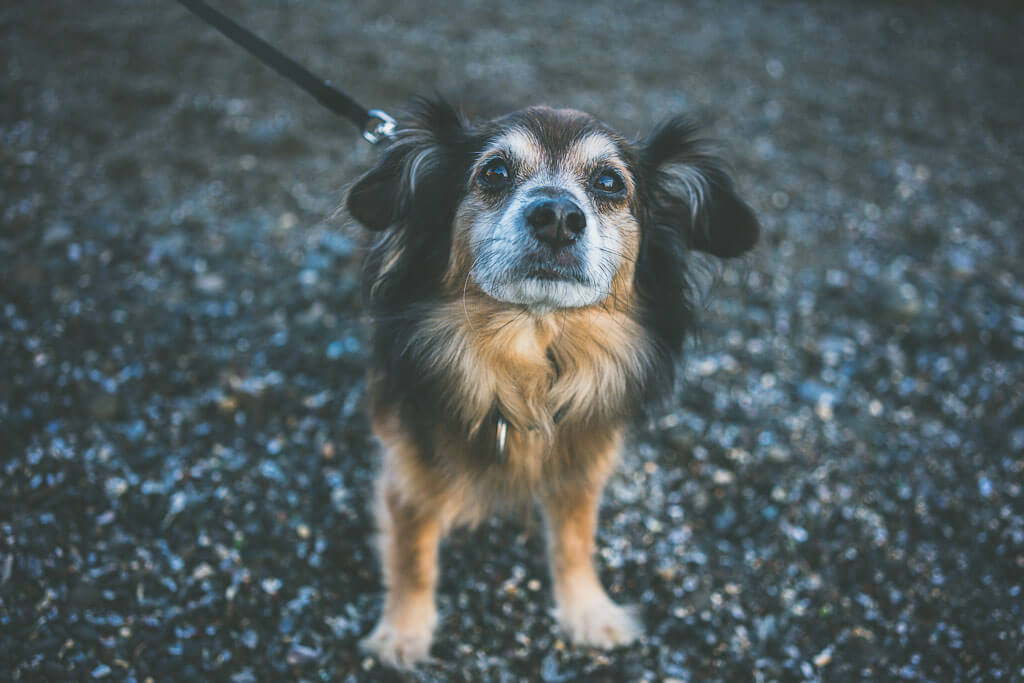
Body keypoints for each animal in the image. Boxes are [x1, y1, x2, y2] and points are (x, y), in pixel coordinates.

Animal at [348, 97, 757, 667]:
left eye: (609, 182)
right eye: (494, 172)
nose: (558, 217)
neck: (530, 365)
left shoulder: (581, 464)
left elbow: (574, 542)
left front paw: (589, 611)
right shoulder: (409, 469)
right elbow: (412, 555)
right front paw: (403, 633)